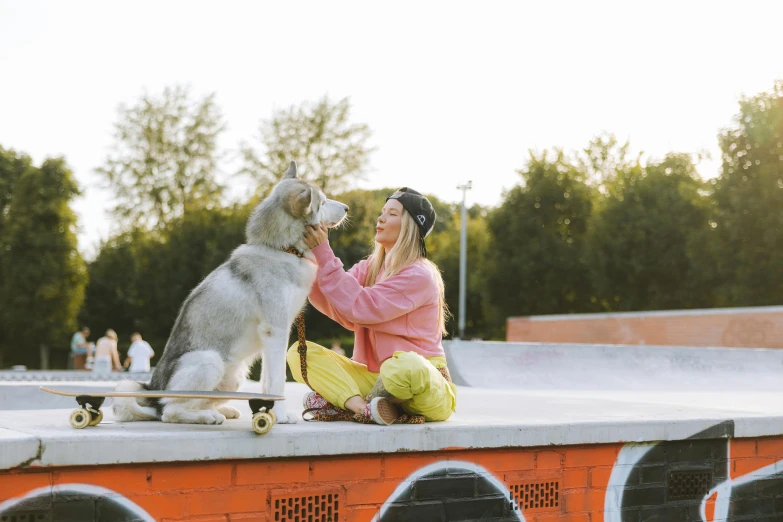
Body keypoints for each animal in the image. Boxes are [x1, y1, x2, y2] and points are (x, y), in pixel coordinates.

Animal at [113, 161, 350, 422]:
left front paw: (270, 413)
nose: (347, 208)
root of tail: (153, 389)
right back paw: (206, 417)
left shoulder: (274, 335)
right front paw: (280, 415)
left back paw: (220, 410)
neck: (281, 249)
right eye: (323, 202)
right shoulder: (276, 331)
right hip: (210, 360)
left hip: (236, 376)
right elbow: (278, 381)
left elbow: (267, 382)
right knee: (169, 412)